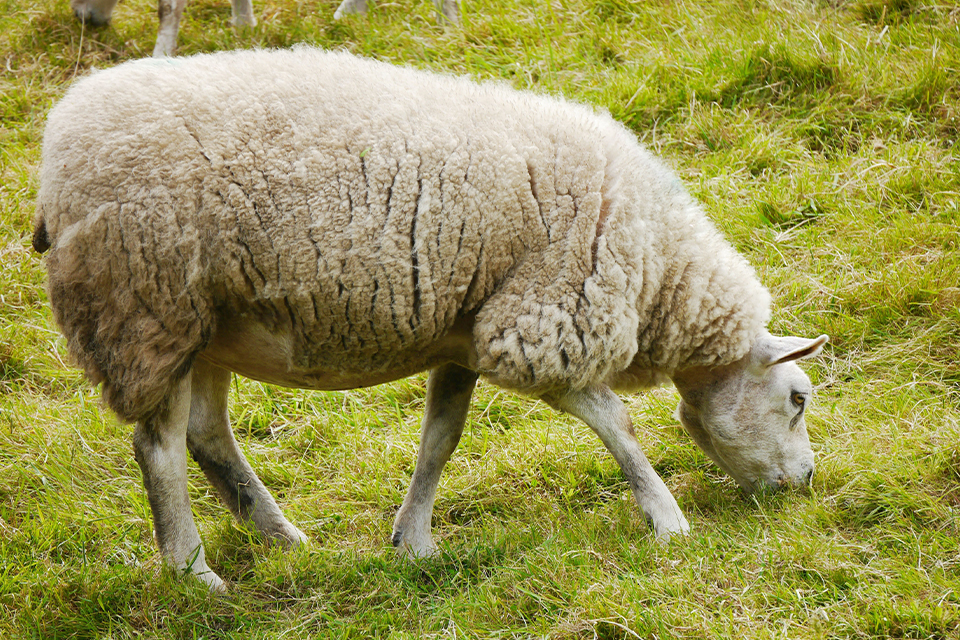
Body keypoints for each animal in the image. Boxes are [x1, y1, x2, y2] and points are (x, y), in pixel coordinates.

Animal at [33, 47, 828, 591]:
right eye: (797, 398)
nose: (808, 480)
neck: (660, 265)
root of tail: (55, 147)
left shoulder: (466, 334)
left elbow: (440, 440)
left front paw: (413, 541)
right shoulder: (541, 321)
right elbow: (616, 425)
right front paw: (667, 519)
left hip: (204, 328)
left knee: (207, 437)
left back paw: (284, 538)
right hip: (146, 309)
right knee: (159, 450)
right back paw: (193, 570)